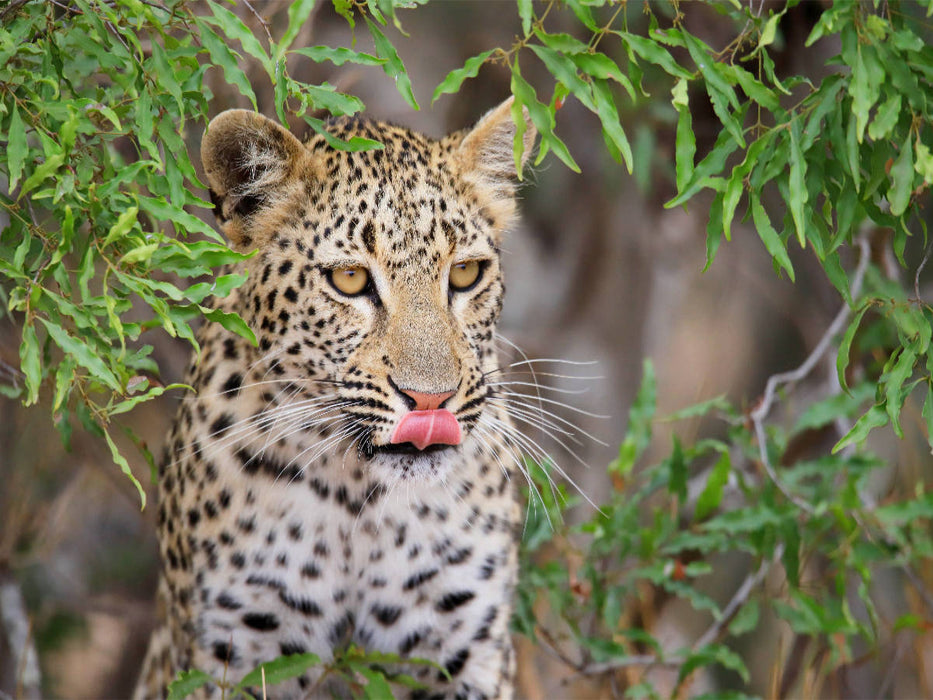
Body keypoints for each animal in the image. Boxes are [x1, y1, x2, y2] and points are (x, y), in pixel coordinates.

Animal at [133, 98, 541, 700]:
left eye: (466, 273)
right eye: (350, 279)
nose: (431, 401)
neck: (359, 501)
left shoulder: (465, 646)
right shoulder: (232, 650)